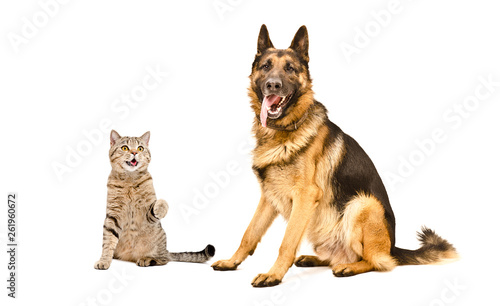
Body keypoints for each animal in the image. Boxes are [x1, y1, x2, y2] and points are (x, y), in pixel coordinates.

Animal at [94, 130, 214, 268]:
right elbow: (108, 242)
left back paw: (147, 259)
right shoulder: (112, 215)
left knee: (164, 259)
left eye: (140, 148)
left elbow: (161, 203)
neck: (130, 179)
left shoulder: (147, 215)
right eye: (125, 148)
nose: (134, 152)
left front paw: (161, 207)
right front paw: (104, 260)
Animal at [211, 24, 458, 286]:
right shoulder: (268, 197)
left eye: (290, 68)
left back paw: (349, 267)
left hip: (362, 204)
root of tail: (392, 247)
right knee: (337, 257)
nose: (273, 85)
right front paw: (232, 262)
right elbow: (249, 233)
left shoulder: (305, 196)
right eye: (266, 66)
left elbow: (286, 242)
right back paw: (315, 259)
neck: (284, 131)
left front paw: (273, 274)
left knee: (377, 261)